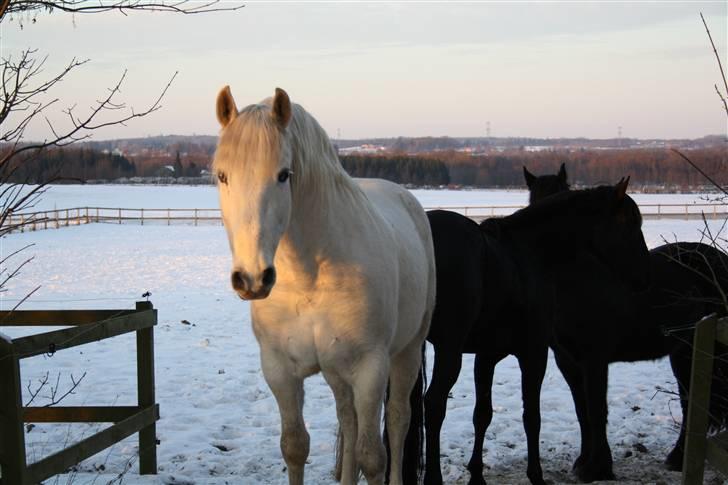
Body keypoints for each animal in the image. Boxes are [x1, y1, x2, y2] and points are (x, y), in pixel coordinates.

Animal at [213, 87, 436, 484]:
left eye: (283, 175)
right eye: (223, 175)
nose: (252, 278)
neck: (308, 278)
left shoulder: (370, 368)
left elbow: (372, 456)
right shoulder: (279, 370)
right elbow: (295, 446)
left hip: (406, 352)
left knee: (397, 421)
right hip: (337, 370)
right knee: (347, 420)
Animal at [406, 179, 652, 484]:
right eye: (629, 223)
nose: (645, 277)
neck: (530, 253)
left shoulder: (487, 355)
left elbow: (482, 414)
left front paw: (477, 475)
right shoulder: (534, 353)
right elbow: (532, 417)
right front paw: (536, 475)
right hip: (449, 349)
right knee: (434, 404)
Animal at [528, 166, 728, 480]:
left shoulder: (594, 359)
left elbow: (597, 410)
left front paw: (597, 468)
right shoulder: (567, 361)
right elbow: (582, 410)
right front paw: (584, 462)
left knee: (691, 402)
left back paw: (676, 457)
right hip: (685, 351)